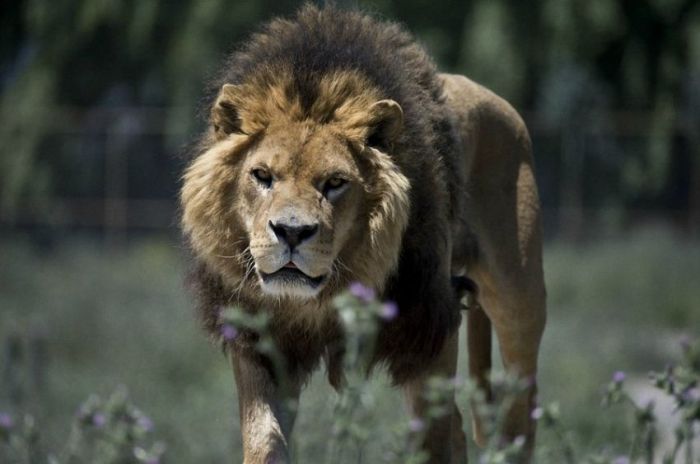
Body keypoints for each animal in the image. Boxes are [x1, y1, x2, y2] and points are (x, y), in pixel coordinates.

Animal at [180, 4, 548, 464]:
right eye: (262, 176)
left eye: (335, 183)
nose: (291, 232)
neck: (328, 291)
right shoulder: (259, 340)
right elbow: (264, 438)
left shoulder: (427, 324)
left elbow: (430, 439)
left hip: (519, 300)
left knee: (518, 415)